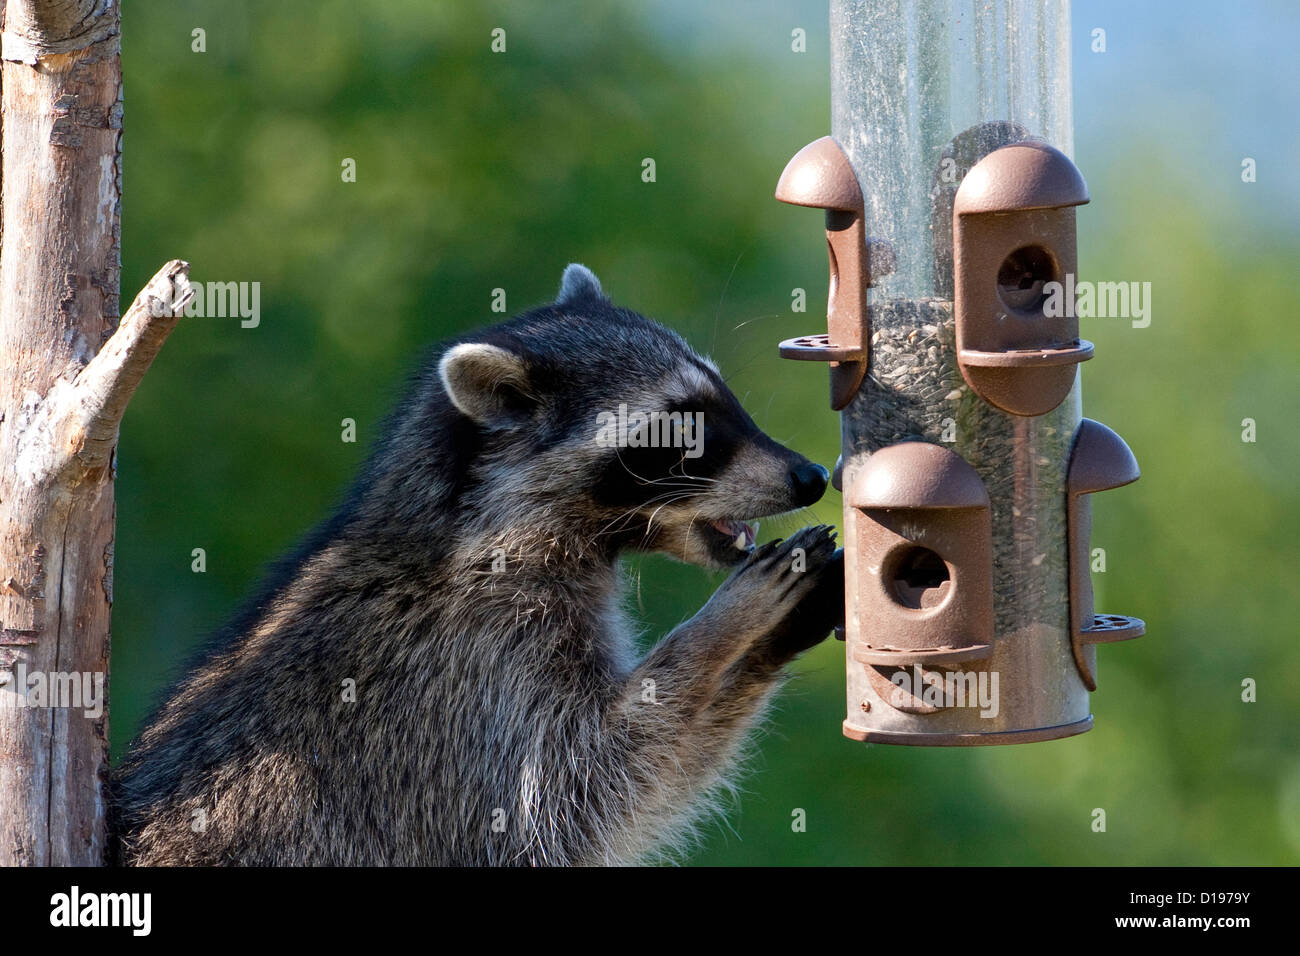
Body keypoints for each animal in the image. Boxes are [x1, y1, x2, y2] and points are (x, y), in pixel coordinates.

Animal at [111, 264, 843, 866]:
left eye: (723, 399)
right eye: (682, 427)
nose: (810, 477)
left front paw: (769, 642)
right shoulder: (476, 673)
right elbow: (589, 785)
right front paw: (723, 628)